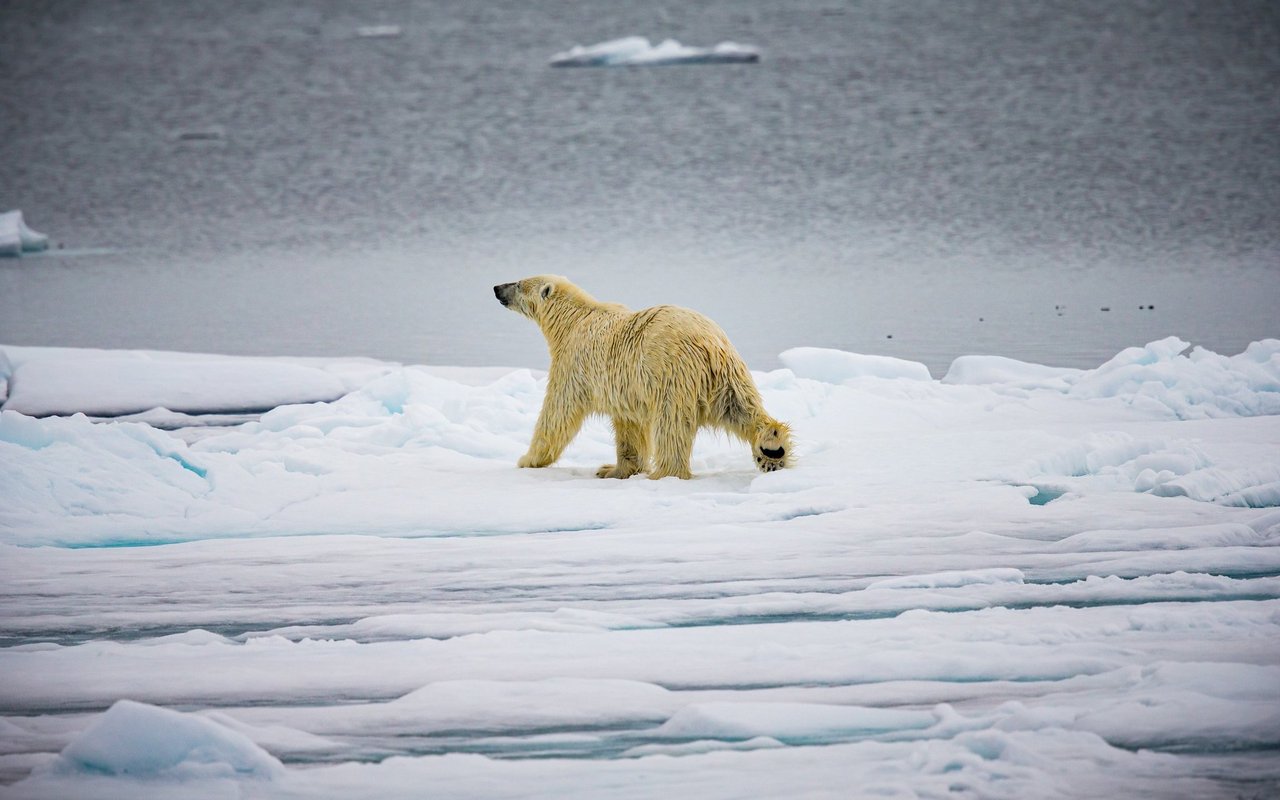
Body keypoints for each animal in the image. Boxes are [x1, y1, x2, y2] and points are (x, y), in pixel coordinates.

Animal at [491, 273, 783, 476]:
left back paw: (666, 472)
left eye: (518, 283)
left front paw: (527, 459)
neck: (573, 320)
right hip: (728, 373)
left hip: (673, 375)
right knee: (742, 408)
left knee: (671, 426)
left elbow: (558, 412)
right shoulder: (625, 385)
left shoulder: (575, 362)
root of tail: (708, 343)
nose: (496, 288)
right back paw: (773, 449)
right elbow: (629, 425)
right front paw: (614, 470)